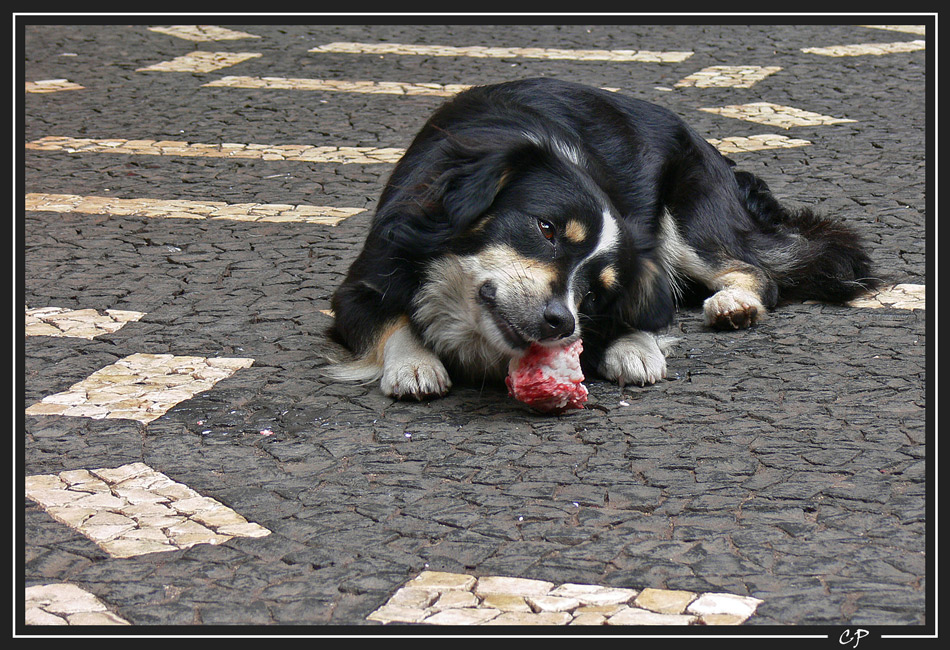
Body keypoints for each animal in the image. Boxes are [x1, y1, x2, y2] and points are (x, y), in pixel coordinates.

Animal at [328, 76, 876, 400]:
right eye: (546, 228)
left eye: (595, 292)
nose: (560, 321)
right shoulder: (362, 283)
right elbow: (390, 320)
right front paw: (415, 365)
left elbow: (645, 310)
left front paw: (633, 346)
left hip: (685, 222)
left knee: (756, 270)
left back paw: (733, 304)